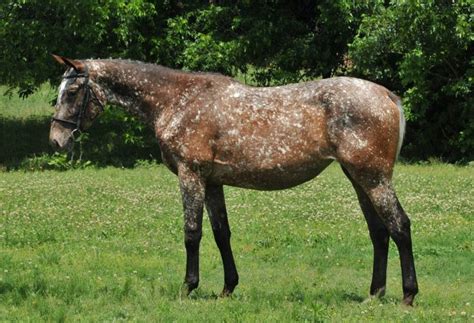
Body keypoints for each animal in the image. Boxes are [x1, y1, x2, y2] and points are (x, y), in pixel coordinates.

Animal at [49, 55, 418, 306]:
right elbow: (221, 234)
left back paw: (408, 295)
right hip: (358, 178)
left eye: (73, 91)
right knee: (379, 231)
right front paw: (228, 287)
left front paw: (188, 286)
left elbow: (192, 233)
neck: (177, 101)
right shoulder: (213, 182)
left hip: (373, 178)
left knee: (399, 225)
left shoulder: (192, 175)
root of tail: (389, 97)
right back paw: (375, 293)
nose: (56, 140)